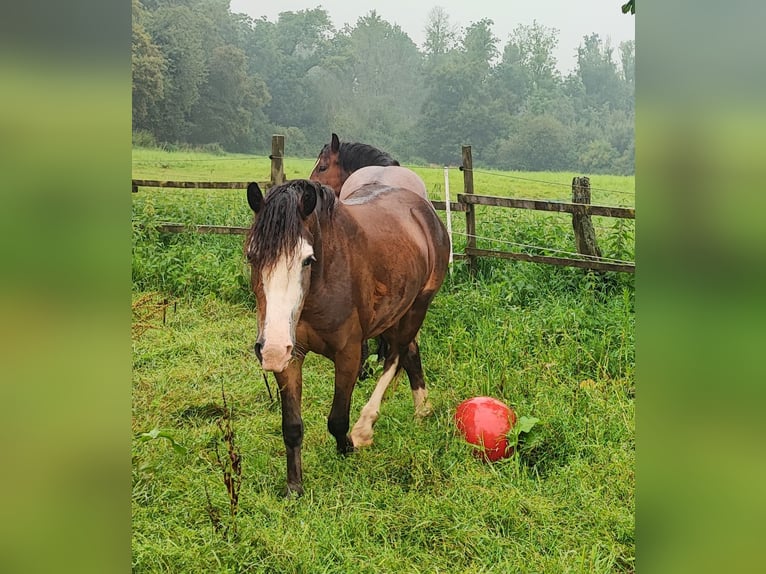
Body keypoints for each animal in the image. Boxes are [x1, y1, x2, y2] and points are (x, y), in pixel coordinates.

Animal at [246, 178, 450, 498]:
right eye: (251, 255)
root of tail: (424, 211)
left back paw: (366, 426)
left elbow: (337, 419)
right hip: (395, 310)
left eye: (307, 260)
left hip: (419, 305)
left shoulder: (349, 354)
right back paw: (422, 411)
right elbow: (291, 425)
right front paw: (294, 487)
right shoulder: (290, 355)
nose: (273, 350)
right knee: (410, 352)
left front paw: (349, 448)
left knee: (396, 355)